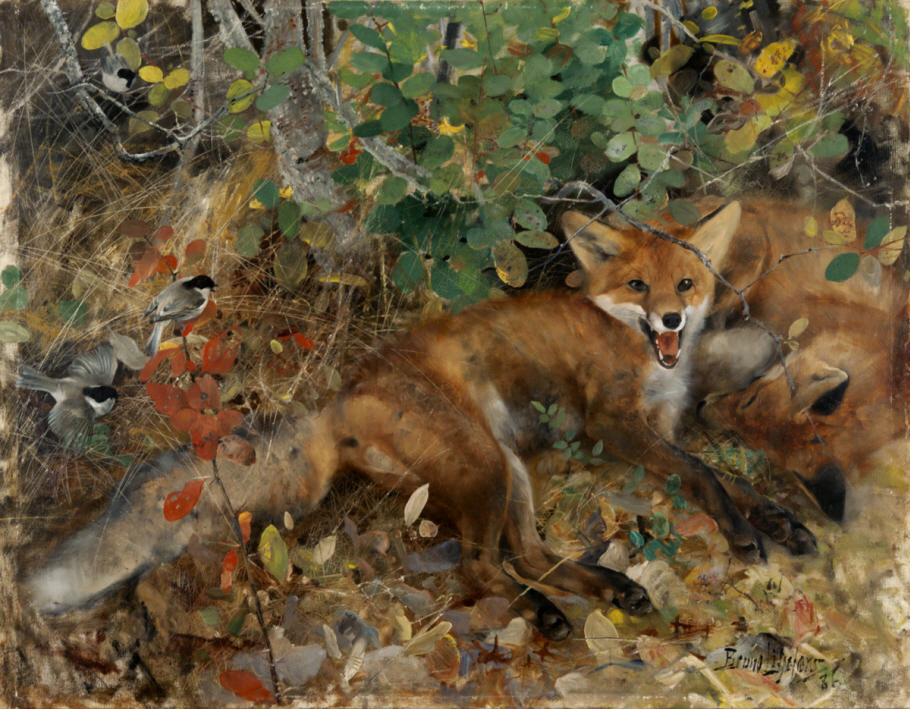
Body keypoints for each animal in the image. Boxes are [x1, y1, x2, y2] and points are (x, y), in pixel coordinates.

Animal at [23, 199, 820, 636]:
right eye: (637, 286)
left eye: (685, 283)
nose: (673, 320)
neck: (637, 349)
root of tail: (339, 398)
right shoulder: (618, 425)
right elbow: (707, 477)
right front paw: (746, 536)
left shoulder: (662, 426)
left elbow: (729, 476)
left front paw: (783, 523)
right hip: (486, 466)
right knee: (481, 565)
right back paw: (546, 614)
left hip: (509, 470)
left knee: (527, 555)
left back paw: (606, 588)